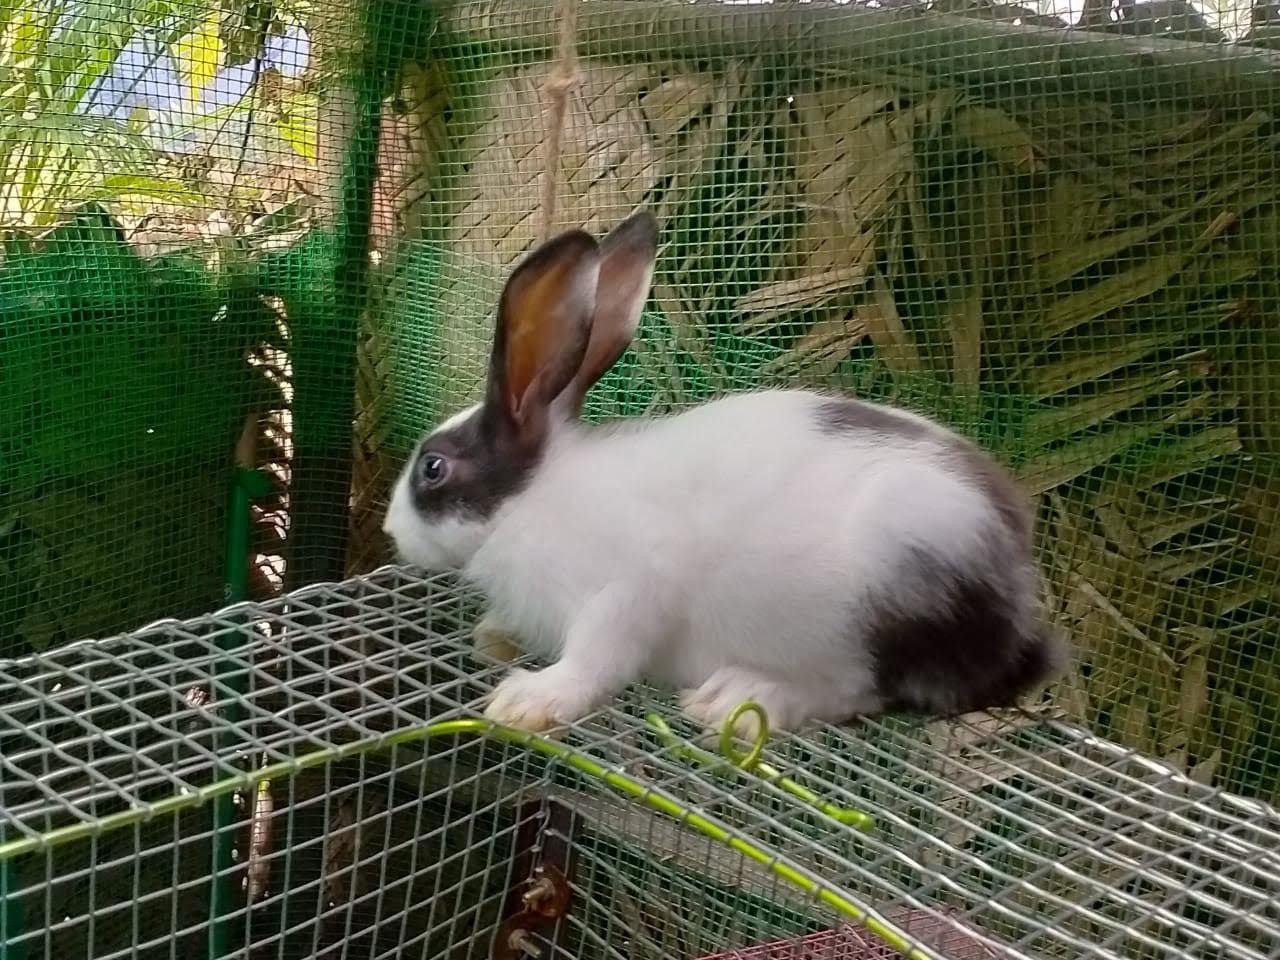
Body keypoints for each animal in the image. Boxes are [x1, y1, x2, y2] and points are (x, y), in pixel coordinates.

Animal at [381, 208, 1070, 737]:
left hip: (898, 569)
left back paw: (741, 698)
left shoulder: (632, 588)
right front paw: (495, 638)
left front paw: (530, 701)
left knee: (867, 690)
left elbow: (598, 656)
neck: (528, 501)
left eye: (433, 468)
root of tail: (1020, 616)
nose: (390, 531)